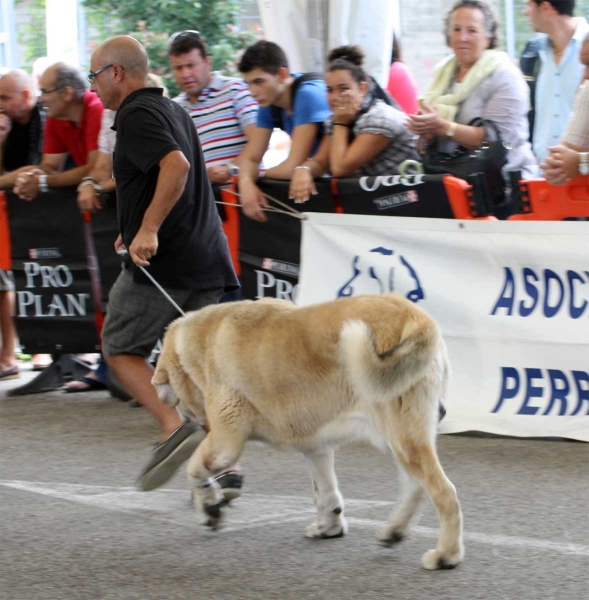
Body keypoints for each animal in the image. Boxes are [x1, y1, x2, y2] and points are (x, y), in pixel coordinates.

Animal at [153, 292, 464, 568]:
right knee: (415, 486)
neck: (202, 341)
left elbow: (195, 469)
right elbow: (325, 491)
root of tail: (417, 319)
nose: (183, 417)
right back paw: (394, 531)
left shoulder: (224, 443)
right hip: (398, 438)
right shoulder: (317, 448)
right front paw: (330, 527)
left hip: (402, 437)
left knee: (444, 493)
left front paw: (209, 508)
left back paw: (446, 555)